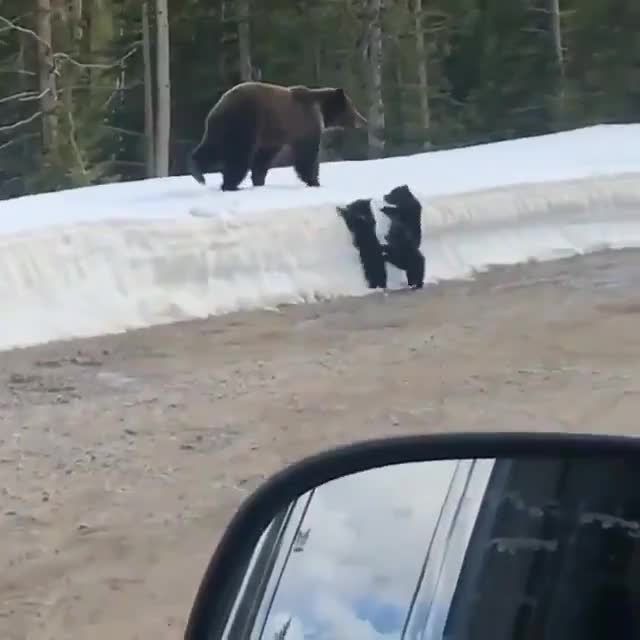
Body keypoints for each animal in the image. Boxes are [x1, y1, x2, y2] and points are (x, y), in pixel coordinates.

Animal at [186, 80, 364, 190]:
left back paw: (197, 171)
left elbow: (263, 159)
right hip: (245, 123)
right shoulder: (305, 126)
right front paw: (315, 181)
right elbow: (307, 156)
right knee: (239, 155)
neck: (321, 110)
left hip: (222, 129)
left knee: (212, 148)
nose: (364, 120)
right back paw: (230, 184)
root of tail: (219, 107)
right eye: (353, 108)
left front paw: (259, 180)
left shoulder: (273, 136)